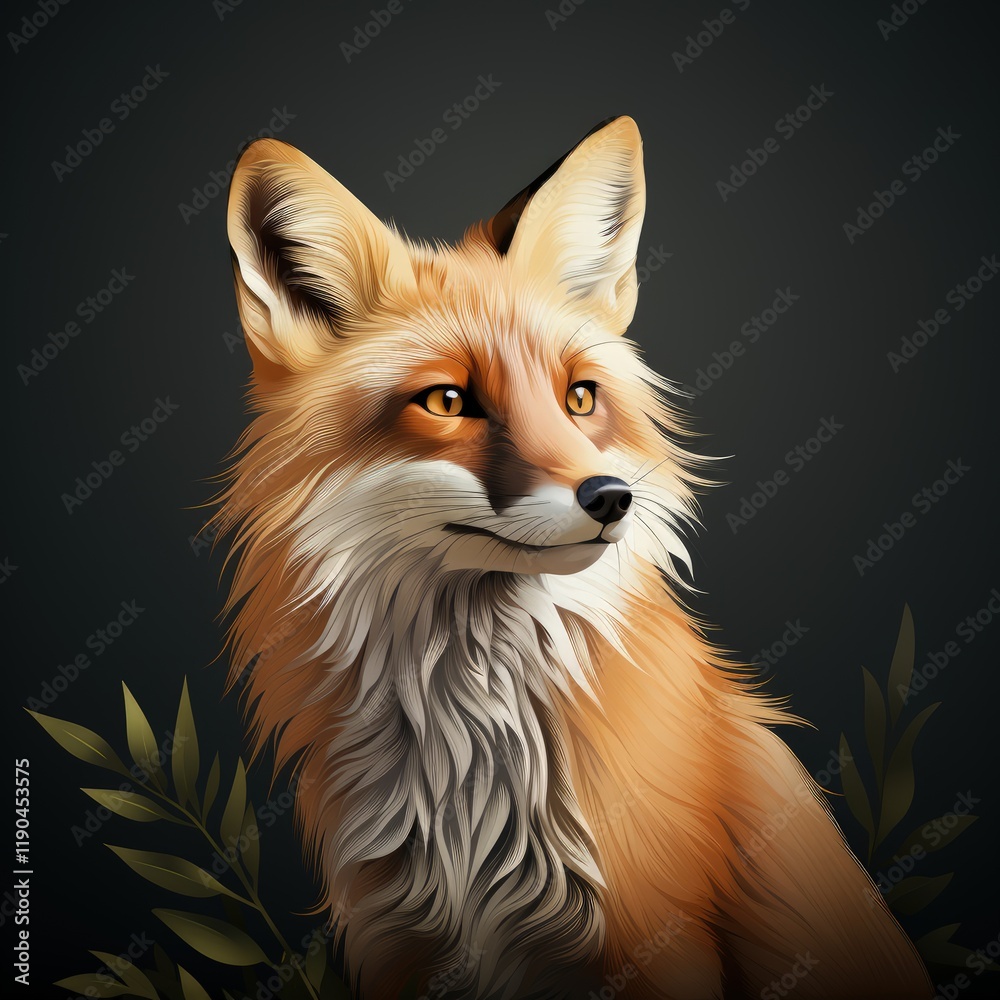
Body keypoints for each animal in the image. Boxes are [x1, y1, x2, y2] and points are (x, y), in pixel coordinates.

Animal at [218, 116, 933, 999]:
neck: (475, 762)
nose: (611, 497)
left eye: (579, 398)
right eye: (447, 400)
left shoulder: (654, 941)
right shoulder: (398, 943)